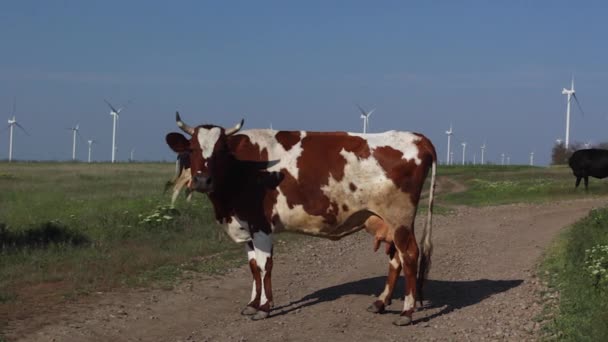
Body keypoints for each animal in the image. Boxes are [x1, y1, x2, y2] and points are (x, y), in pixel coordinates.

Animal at [166, 113, 436, 326]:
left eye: (221, 151)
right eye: (191, 149)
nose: (202, 180)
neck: (243, 169)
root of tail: (417, 137)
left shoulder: (262, 226)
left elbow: (264, 267)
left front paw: (264, 308)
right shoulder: (246, 226)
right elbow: (253, 267)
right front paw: (252, 304)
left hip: (399, 218)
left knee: (409, 256)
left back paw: (407, 313)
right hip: (384, 222)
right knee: (395, 258)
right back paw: (380, 303)